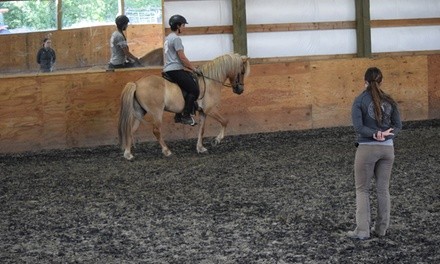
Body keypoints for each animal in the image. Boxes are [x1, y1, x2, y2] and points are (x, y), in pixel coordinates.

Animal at [117, 52, 249, 158]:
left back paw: (128, 154)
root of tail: (136, 83)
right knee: (156, 130)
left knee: (131, 130)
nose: (240, 90)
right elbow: (225, 121)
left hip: (139, 112)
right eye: (242, 72)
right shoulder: (210, 110)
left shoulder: (203, 112)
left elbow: (202, 130)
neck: (210, 81)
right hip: (156, 112)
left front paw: (200, 148)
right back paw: (167, 151)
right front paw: (217, 140)